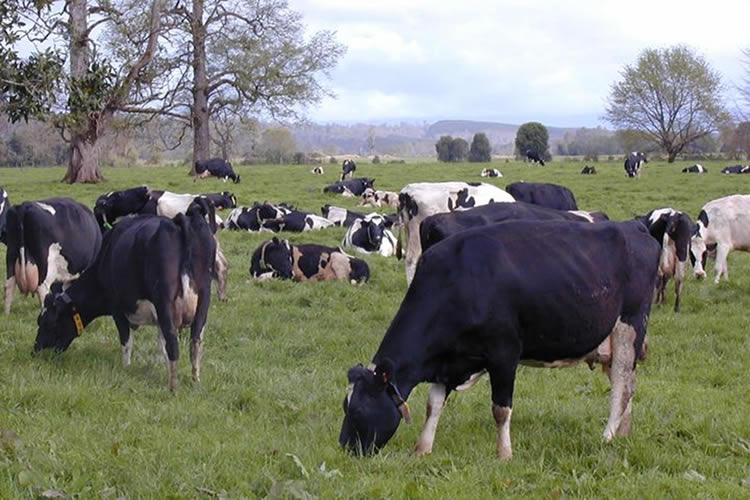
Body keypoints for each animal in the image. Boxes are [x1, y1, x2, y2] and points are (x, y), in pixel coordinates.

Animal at [35, 213, 217, 392]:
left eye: (49, 323)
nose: (36, 350)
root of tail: (177, 221)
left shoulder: (117, 309)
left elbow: (127, 340)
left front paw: (126, 368)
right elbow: (161, 345)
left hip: (165, 300)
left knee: (173, 343)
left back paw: (173, 387)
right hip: (203, 298)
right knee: (195, 342)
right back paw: (195, 381)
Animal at [338, 220, 660, 460]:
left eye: (358, 409)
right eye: (344, 405)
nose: (344, 448)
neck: (456, 280)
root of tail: (634, 227)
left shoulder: (504, 354)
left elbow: (501, 410)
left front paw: (504, 454)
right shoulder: (448, 360)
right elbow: (433, 405)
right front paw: (422, 449)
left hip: (629, 325)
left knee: (622, 384)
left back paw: (607, 436)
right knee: (627, 382)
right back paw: (623, 433)